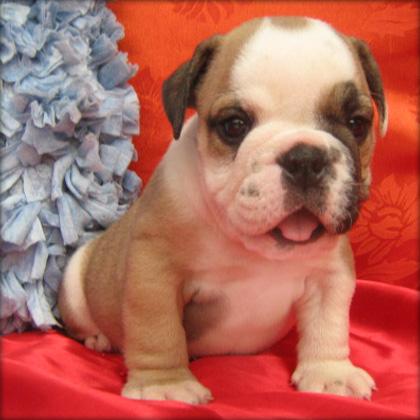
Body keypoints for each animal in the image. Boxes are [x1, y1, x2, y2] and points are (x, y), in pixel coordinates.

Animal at [58, 16, 388, 404]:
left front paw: (330, 372)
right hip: (75, 285)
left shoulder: (330, 274)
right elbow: (158, 330)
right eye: (234, 125)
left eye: (357, 123)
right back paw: (100, 338)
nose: (306, 158)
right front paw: (164, 386)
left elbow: (329, 323)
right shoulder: (154, 271)